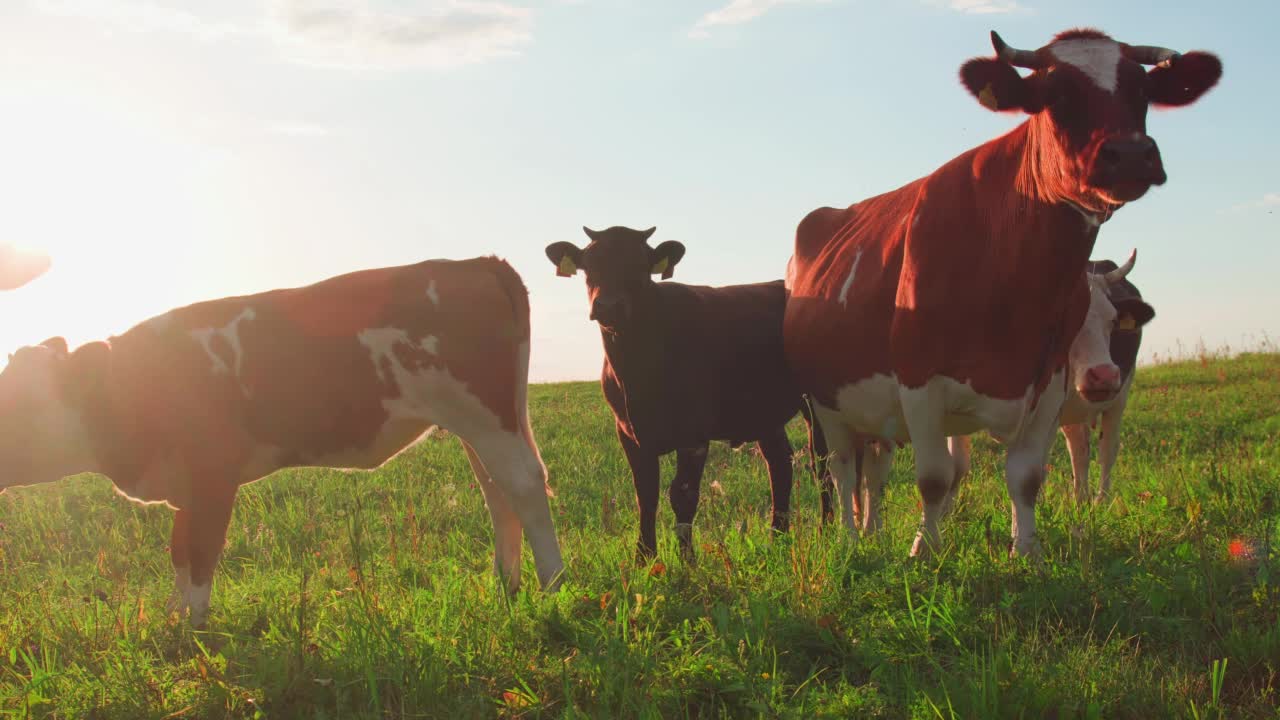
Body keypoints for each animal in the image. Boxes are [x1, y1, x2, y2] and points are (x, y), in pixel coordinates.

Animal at [0, 256, 563, 622]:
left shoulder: (214, 473)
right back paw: (507, 584)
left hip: (487, 416)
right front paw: (176, 622)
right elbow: (179, 552)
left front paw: (195, 630)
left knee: (525, 485)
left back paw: (553, 585)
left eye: (21, 404)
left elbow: (200, 553)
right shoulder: (186, 484)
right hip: (483, 423)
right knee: (498, 493)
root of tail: (474, 262)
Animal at [547, 226, 829, 558]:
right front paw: (644, 558)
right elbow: (646, 494)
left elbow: (683, 494)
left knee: (822, 461)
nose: (608, 305)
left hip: (818, 401)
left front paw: (688, 560)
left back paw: (827, 529)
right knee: (780, 465)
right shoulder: (627, 432)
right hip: (764, 411)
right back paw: (778, 538)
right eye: (588, 266)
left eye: (640, 267)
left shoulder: (693, 434)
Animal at [778, 28, 1218, 556]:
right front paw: (925, 550)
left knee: (875, 469)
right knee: (842, 470)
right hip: (827, 404)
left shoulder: (1048, 381)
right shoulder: (917, 378)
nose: (1130, 154)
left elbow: (1026, 476)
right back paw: (849, 538)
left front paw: (1026, 551)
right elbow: (933, 477)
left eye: (1143, 91)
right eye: (1055, 95)